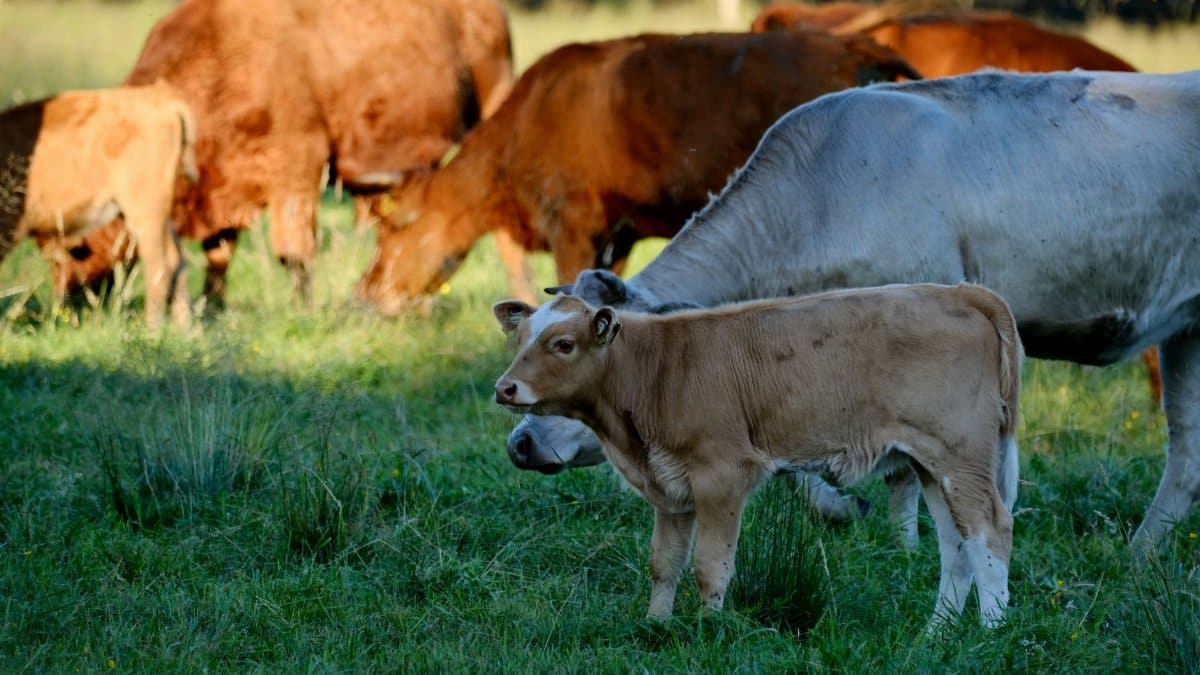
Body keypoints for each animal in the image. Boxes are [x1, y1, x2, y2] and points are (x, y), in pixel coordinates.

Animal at [0, 82, 195, 328]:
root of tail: (162, 102)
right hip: (157, 216)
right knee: (178, 260)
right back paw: (185, 331)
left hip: (145, 211)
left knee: (160, 266)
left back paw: (153, 329)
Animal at [35, 0, 514, 308]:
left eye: (77, 249)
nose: (66, 307)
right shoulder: (224, 187)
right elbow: (219, 251)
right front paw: (214, 309)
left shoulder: (298, 170)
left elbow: (294, 253)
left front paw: (303, 309)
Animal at [493, 285, 1022, 628]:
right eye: (518, 342)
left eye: (563, 344)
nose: (505, 387)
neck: (657, 369)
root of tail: (961, 291)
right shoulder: (669, 489)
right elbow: (664, 563)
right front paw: (655, 626)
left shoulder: (722, 474)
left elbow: (710, 566)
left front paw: (708, 630)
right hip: (931, 463)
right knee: (957, 544)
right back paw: (937, 634)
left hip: (959, 456)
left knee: (990, 530)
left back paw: (990, 634)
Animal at [511, 70, 1200, 549]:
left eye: (582, 348)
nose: (519, 442)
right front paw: (849, 512)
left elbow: (902, 471)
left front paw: (904, 547)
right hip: (1187, 332)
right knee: (1186, 454)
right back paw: (1141, 555)